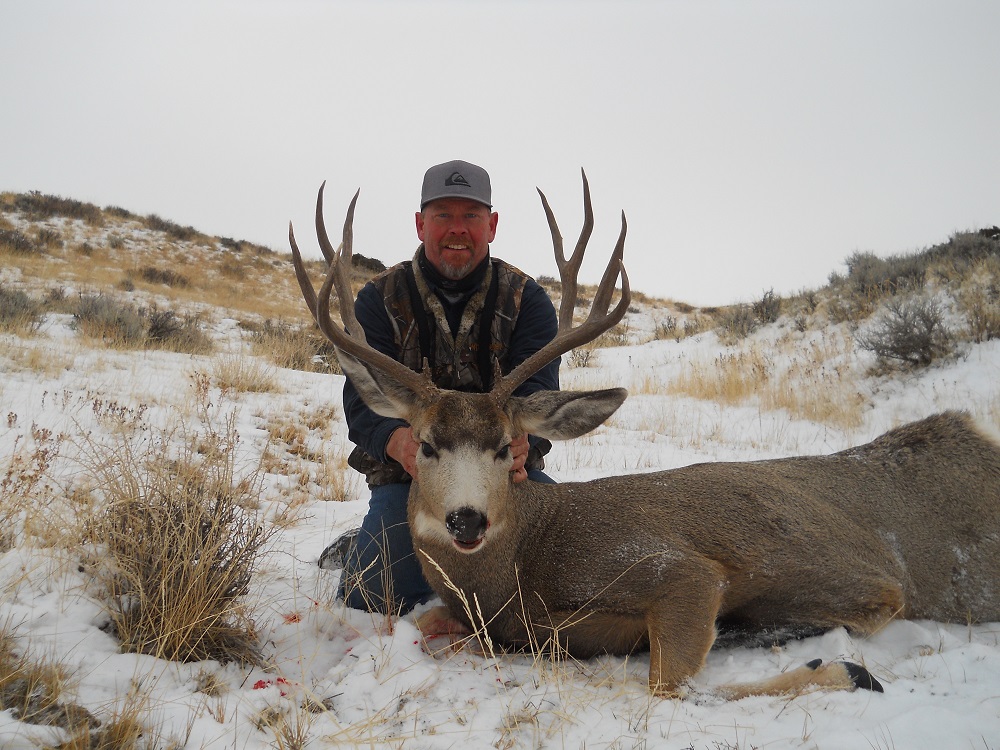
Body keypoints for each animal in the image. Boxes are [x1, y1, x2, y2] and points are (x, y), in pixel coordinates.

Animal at [288, 174, 1000, 700]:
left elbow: (672, 685)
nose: (467, 519)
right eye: (428, 445)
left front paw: (839, 668)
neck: (516, 575)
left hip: (858, 581)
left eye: (503, 448)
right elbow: (413, 626)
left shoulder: (676, 568)